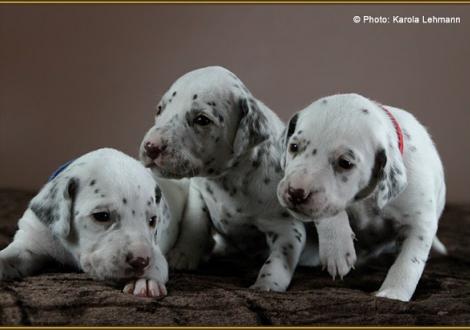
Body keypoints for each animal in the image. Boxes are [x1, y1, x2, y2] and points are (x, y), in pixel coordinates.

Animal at [0, 148, 169, 298]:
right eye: (102, 216)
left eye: (153, 220)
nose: (141, 261)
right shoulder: (29, 241)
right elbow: (10, 256)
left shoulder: (155, 251)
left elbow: (157, 263)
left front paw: (146, 280)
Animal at [140, 66, 352, 292]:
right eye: (159, 109)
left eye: (202, 119)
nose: (151, 146)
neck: (227, 180)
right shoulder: (198, 194)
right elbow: (194, 222)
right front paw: (184, 254)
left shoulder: (287, 228)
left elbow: (278, 259)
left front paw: (267, 284)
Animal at [280, 93, 448, 302]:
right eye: (293, 146)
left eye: (345, 162)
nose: (295, 192)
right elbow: (330, 211)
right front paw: (337, 248)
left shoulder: (420, 223)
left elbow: (409, 262)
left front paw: (394, 293)